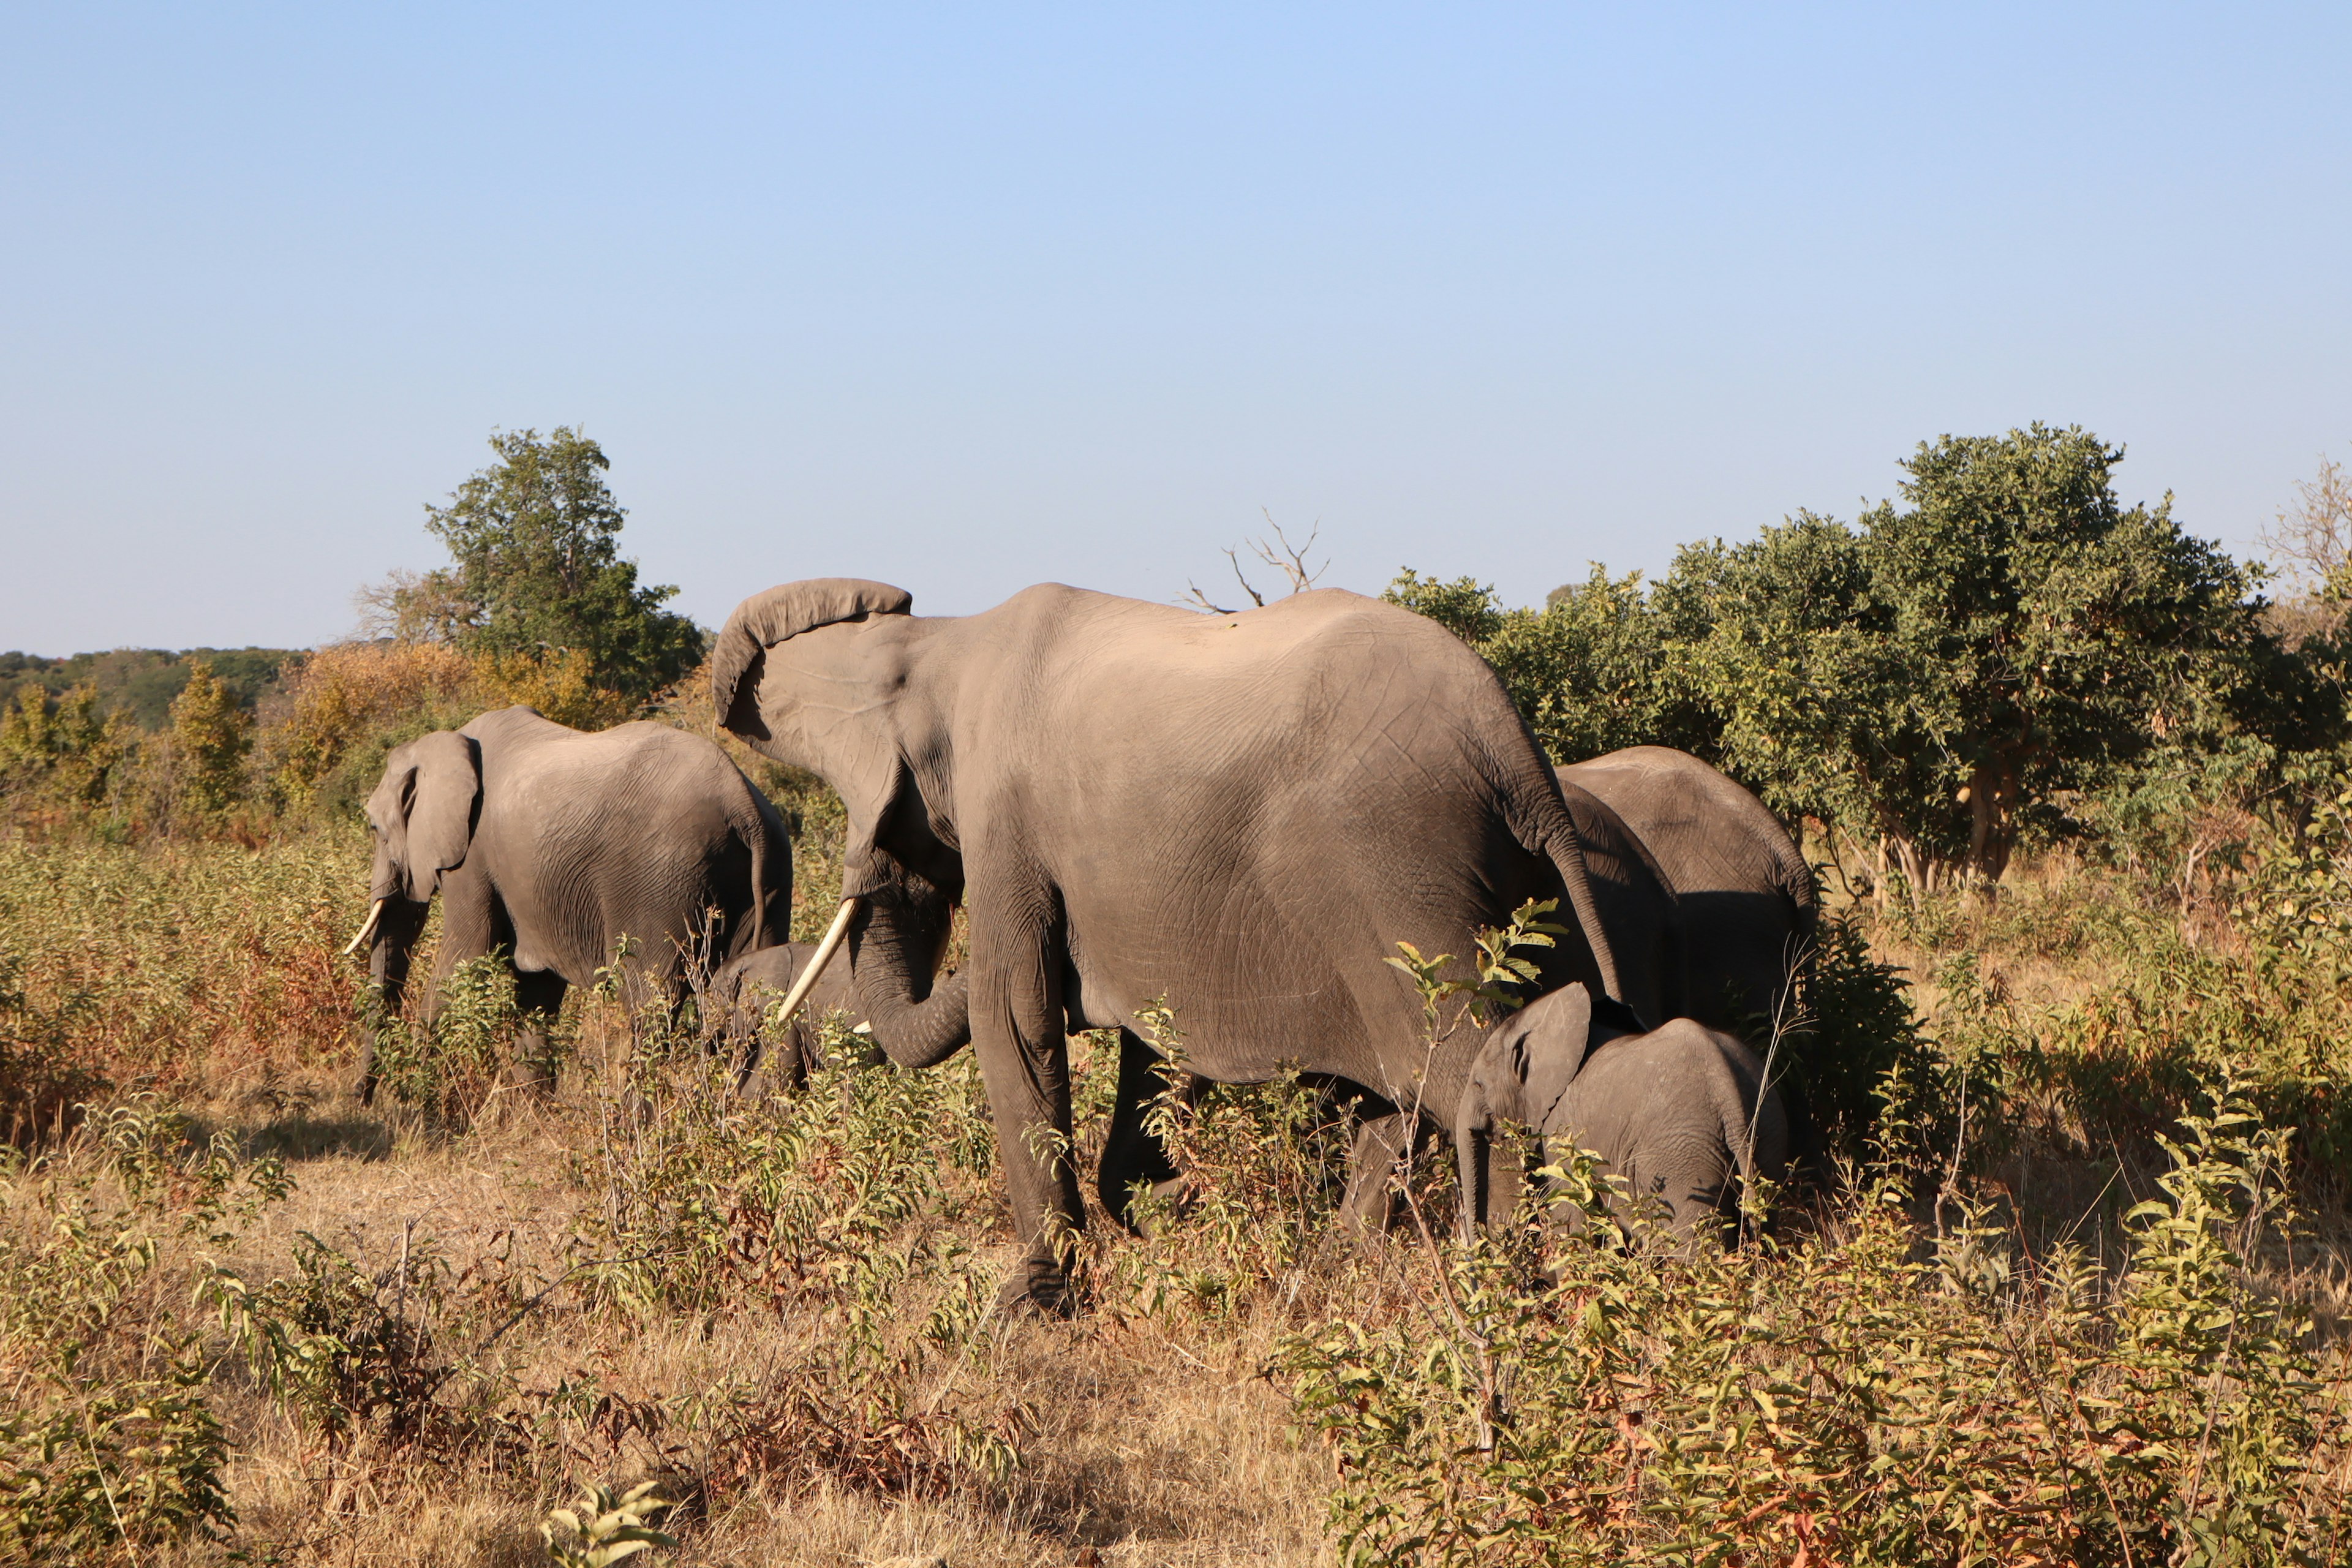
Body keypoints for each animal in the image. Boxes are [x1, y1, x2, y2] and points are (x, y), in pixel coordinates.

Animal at [343, 705, 794, 1100]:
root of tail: (744, 806)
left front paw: (416, 1111)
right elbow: (537, 991)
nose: (360, 1099)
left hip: (663, 880)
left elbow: (464, 963)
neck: (447, 742)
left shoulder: (473, 861)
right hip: (771, 876)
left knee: (651, 1005)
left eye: (375, 829)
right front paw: (532, 1121)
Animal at [710, 576, 1637, 1316]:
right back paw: (1350, 1264)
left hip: (1397, 863)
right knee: (1413, 1087)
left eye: (900, 824)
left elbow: (1012, 1020)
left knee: (1452, 1065)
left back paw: (1509, 1295)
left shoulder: (1005, 820)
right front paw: (1158, 1213)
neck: (940, 638)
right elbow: (1150, 1045)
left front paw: (1029, 1309)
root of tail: (1516, 753)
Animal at [1449, 982, 1778, 1250]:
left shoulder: (1562, 1131)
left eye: (1478, 1084)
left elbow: (1572, 1223)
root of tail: (1727, 1092)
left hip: (1682, 1159)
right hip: (1765, 1135)